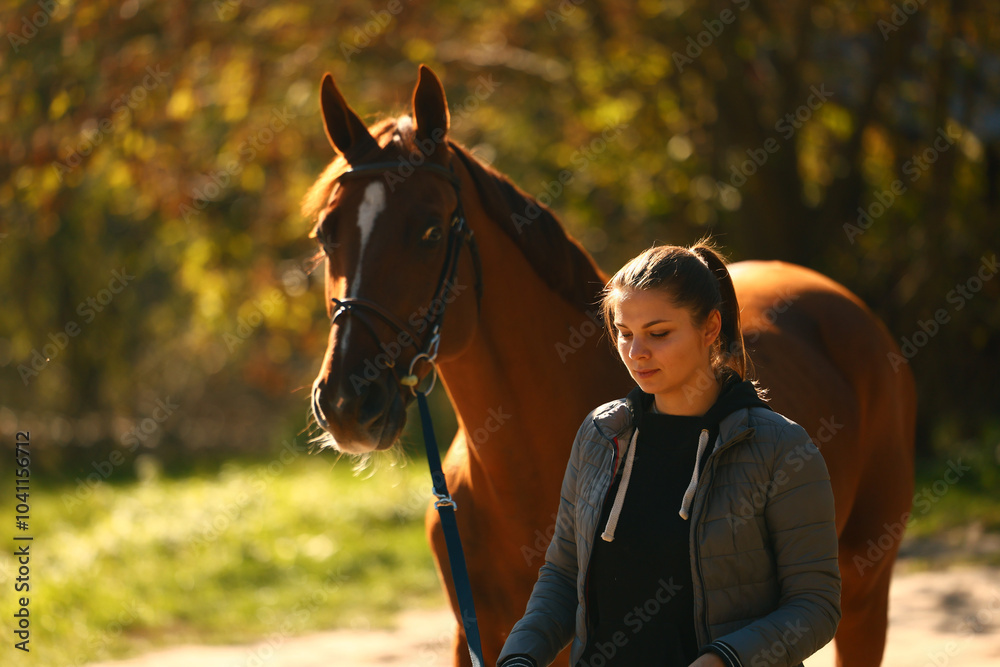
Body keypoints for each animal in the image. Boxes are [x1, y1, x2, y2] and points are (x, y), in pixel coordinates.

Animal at [303, 64, 917, 667]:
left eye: (430, 230)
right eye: (327, 234)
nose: (347, 403)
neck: (518, 476)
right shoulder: (472, 637)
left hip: (864, 590)